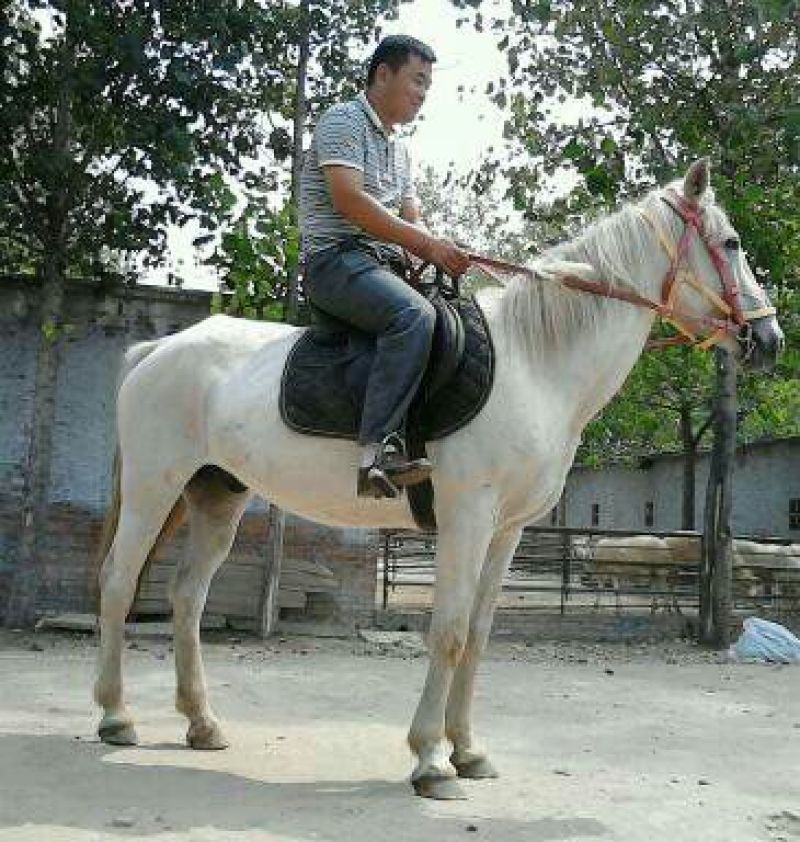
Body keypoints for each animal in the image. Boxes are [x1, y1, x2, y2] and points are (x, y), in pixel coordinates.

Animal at [93, 159, 784, 799]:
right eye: (731, 244)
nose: (769, 338)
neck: (535, 363)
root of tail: (157, 351)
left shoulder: (507, 531)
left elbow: (476, 637)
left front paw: (469, 751)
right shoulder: (466, 518)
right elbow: (448, 632)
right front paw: (429, 760)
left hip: (217, 495)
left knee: (187, 597)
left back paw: (201, 723)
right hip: (155, 489)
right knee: (119, 583)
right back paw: (115, 715)